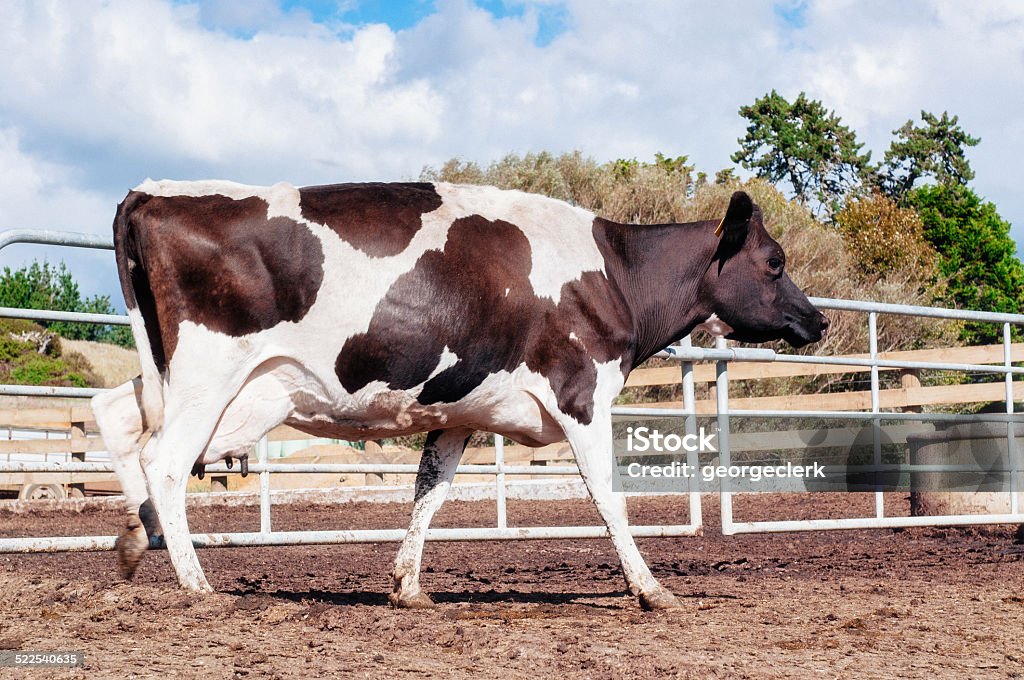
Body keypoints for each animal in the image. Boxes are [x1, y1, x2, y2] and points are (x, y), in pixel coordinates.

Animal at [90, 178, 831, 606]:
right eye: (774, 263)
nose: (820, 320)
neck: (613, 272)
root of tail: (155, 193)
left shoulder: (458, 407)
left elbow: (430, 491)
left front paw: (408, 587)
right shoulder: (582, 391)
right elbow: (609, 496)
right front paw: (652, 591)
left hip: (212, 384)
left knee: (116, 415)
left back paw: (135, 540)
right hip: (209, 376)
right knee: (164, 460)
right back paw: (197, 585)